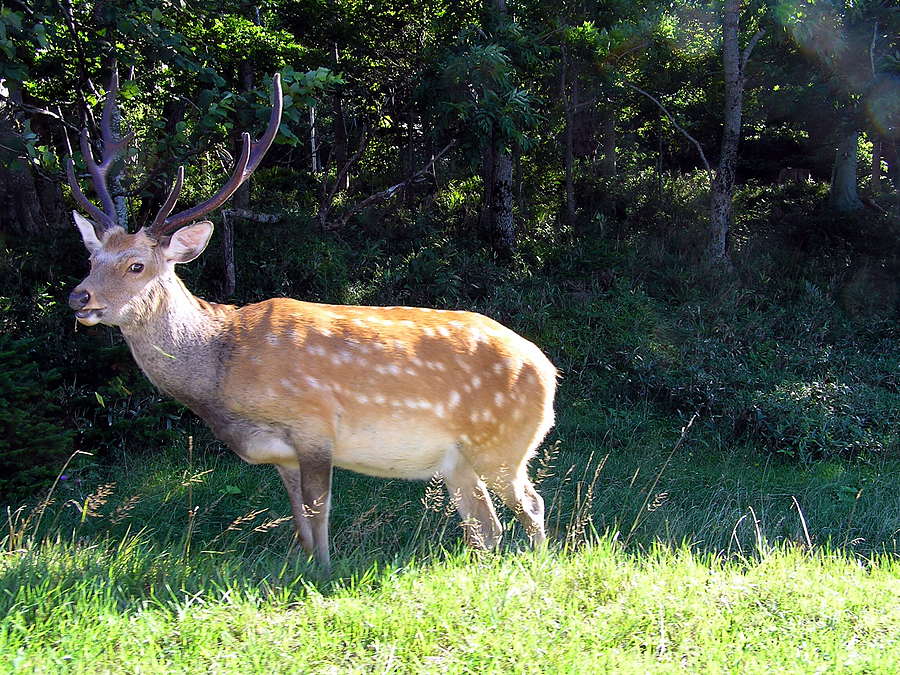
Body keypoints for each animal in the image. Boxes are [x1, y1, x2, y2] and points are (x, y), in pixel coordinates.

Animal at [66, 72, 557, 570]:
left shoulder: (314, 426)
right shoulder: (280, 456)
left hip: (504, 442)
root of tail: (548, 369)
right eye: (90, 258)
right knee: (487, 526)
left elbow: (319, 513)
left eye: (136, 266)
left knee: (531, 504)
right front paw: (305, 567)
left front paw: (323, 571)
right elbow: (299, 523)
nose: (78, 297)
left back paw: (539, 561)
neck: (223, 371)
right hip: (458, 460)